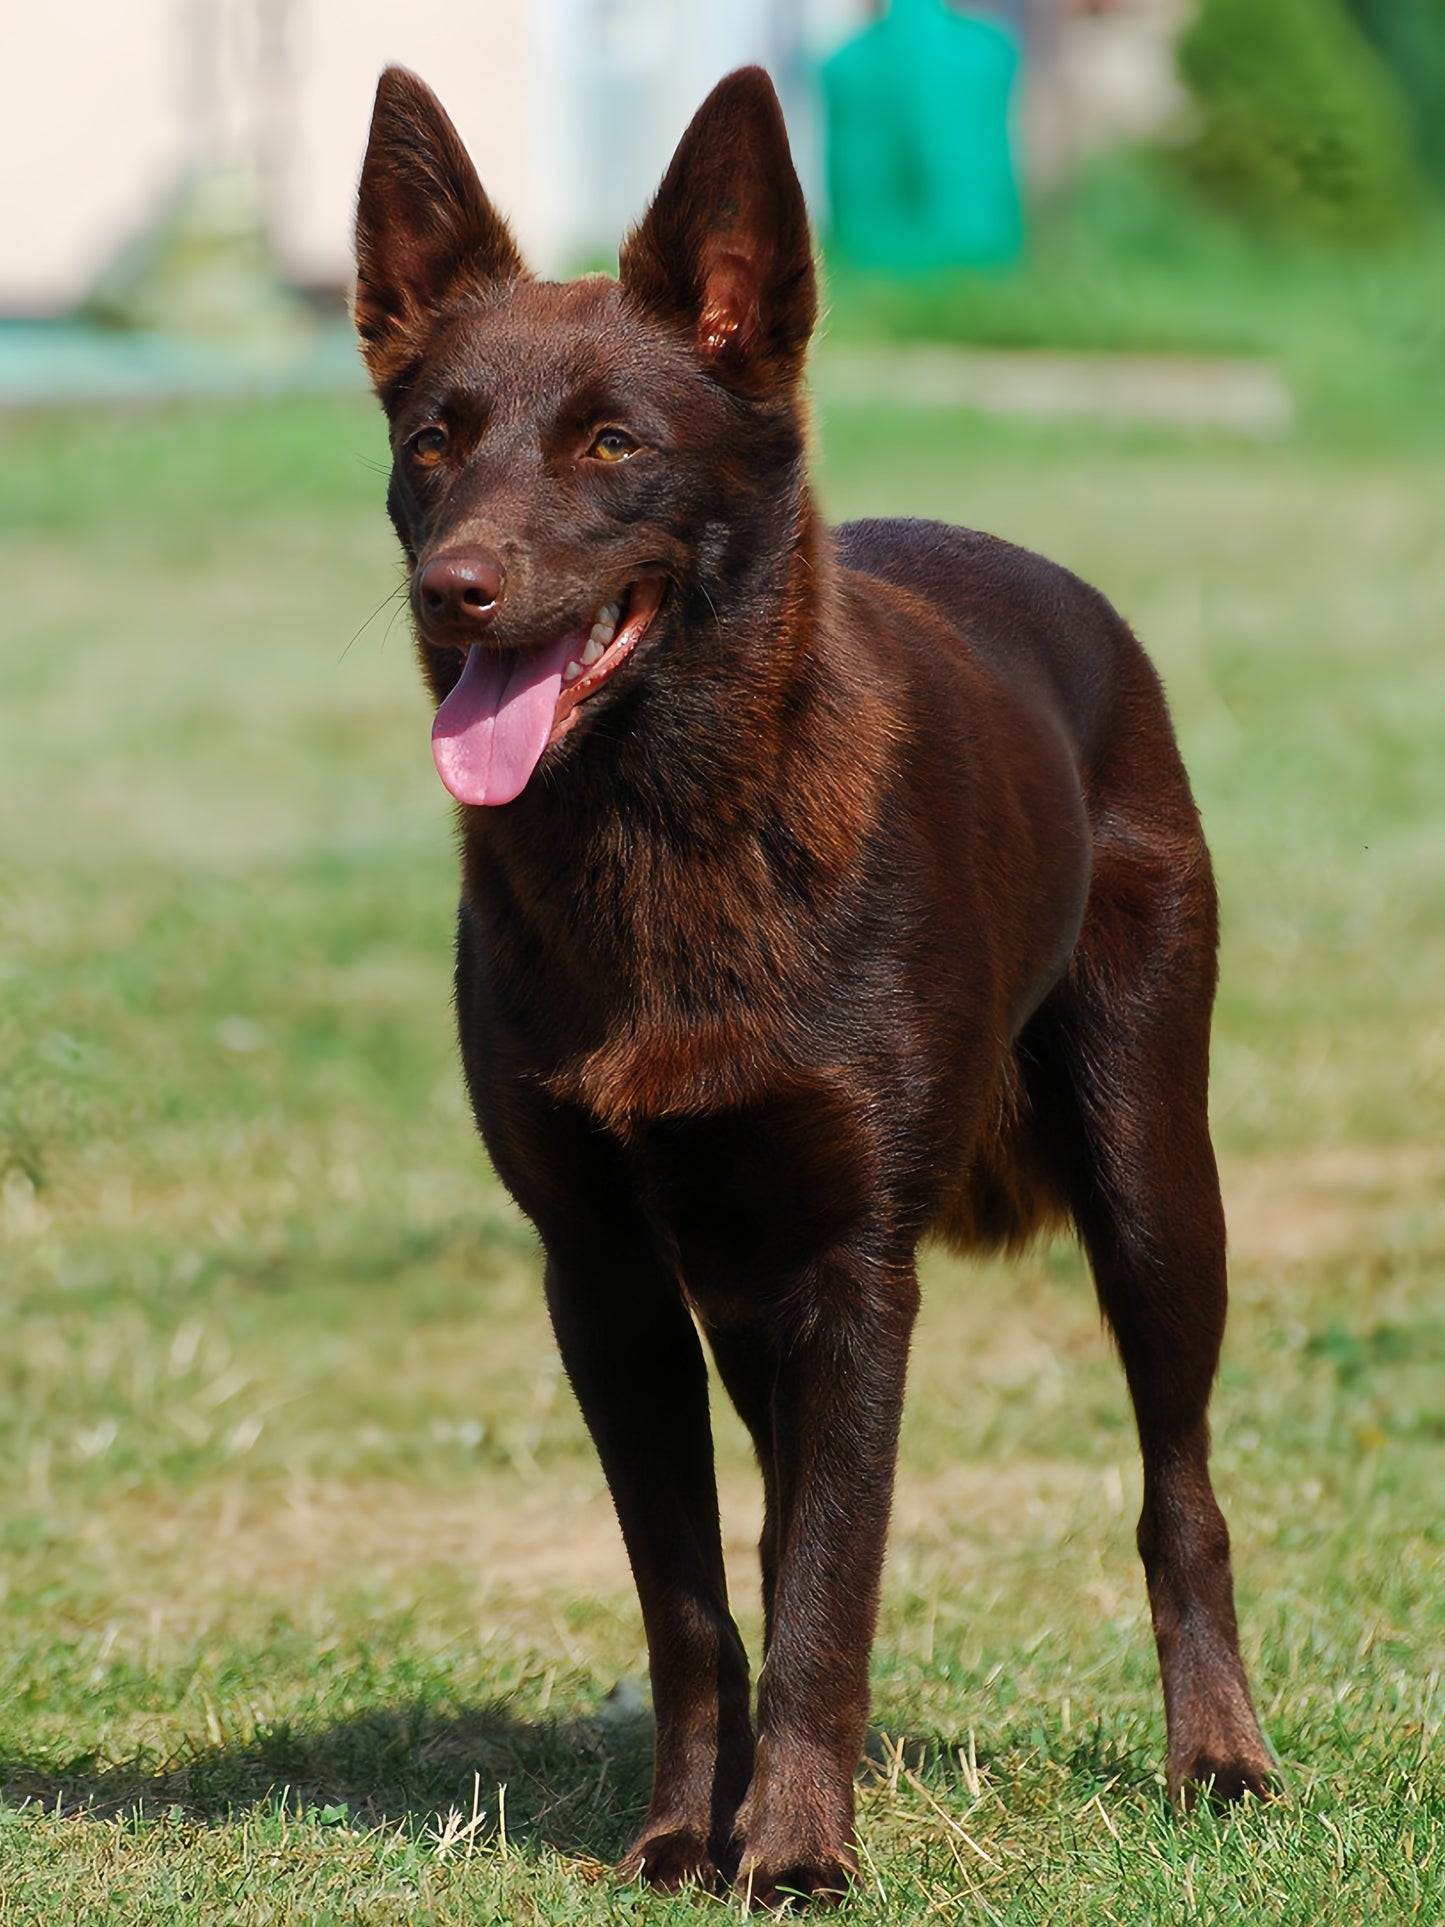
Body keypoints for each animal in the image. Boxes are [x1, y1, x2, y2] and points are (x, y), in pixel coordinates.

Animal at [356, 64, 1271, 1911]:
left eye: (613, 443)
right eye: (433, 441)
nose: (453, 590)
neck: (661, 830)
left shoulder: (855, 1275)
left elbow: (828, 1593)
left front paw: (791, 1852)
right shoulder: (608, 1281)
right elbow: (707, 1599)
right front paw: (680, 1836)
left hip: (1151, 1174)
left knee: (1178, 1488)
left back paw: (1218, 1759)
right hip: (742, 1285)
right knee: (782, 1531)